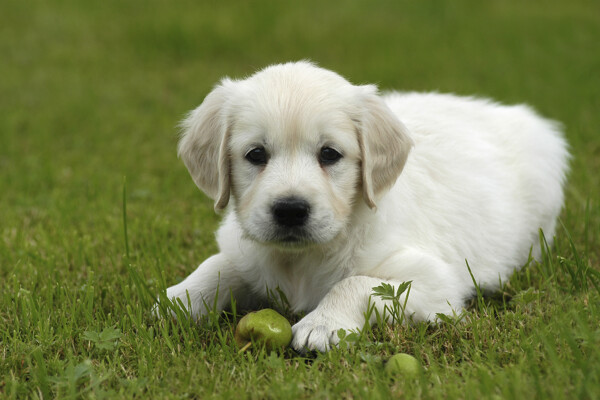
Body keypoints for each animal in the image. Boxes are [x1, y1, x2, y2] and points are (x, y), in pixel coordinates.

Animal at [163, 61, 568, 352]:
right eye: (255, 155)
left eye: (330, 154)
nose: (290, 210)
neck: (302, 260)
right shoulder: (244, 251)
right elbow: (217, 265)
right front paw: (177, 299)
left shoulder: (436, 282)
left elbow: (356, 282)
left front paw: (321, 324)